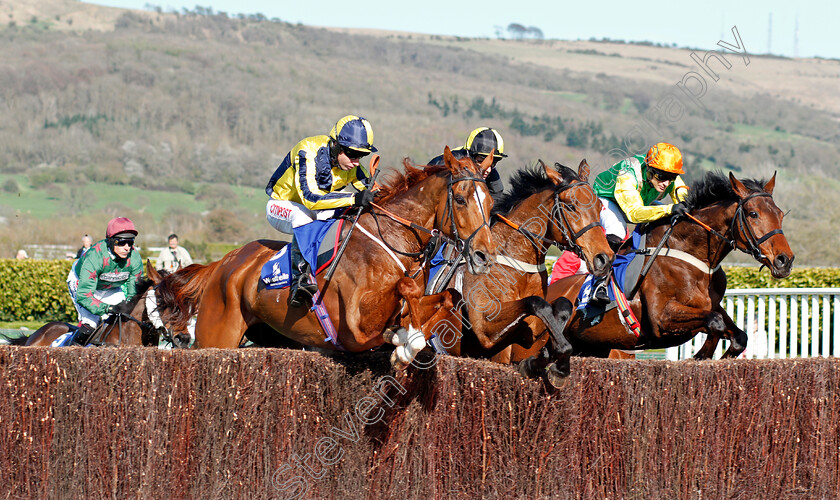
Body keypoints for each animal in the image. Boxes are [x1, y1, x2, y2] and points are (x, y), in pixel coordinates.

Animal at [156, 146, 498, 370]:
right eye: (460, 199)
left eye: (491, 202)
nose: (485, 256)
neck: (392, 242)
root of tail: (222, 264)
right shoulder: (356, 328)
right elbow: (406, 289)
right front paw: (407, 341)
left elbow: (448, 296)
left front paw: (407, 343)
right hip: (217, 335)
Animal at [436, 160, 612, 386]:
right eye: (571, 206)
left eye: (599, 206)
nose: (604, 258)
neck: (518, 264)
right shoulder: (485, 327)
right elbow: (537, 303)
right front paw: (557, 362)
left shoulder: (526, 335)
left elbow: (561, 306)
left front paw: (551, 360)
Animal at [512, 171, 796, 372]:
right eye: (753, 213)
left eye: (781, 214)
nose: (785, 260)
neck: (692, 257)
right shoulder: (661, 319)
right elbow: (714, 322)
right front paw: (701, 356)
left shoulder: (710, 306)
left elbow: (738, 336)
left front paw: (711, 357)